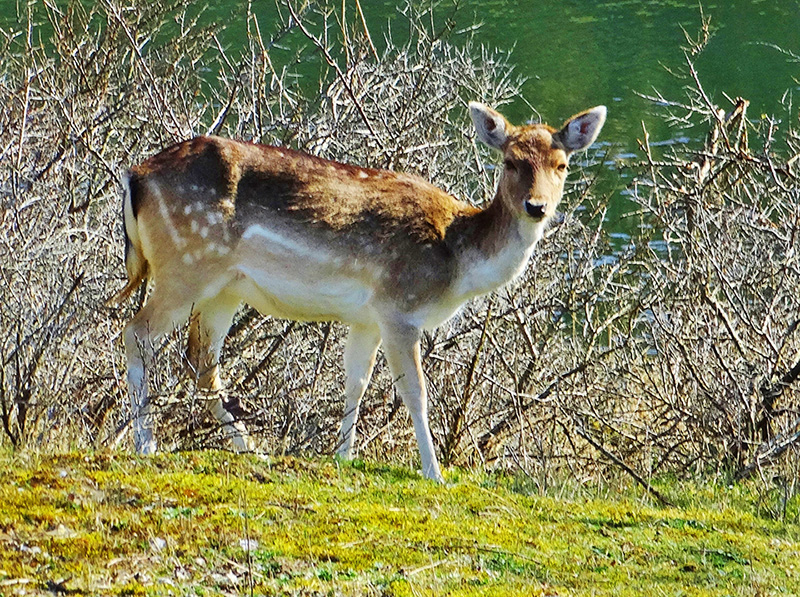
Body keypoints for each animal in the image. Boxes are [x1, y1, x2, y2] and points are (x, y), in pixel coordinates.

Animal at [112, 102, 608, 482]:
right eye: (510, 162)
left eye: (562, 165)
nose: (536, 206)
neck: (455, 260)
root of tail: (135, 175)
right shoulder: (399, 307)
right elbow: (415, 390)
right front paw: (435, 473)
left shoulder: (367, 316)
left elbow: (356, 380)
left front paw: (344, 456)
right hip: (185, 266)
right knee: (137, 333)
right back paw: (145, 442)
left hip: (223, 288)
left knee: (200, 362)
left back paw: (254, 450)